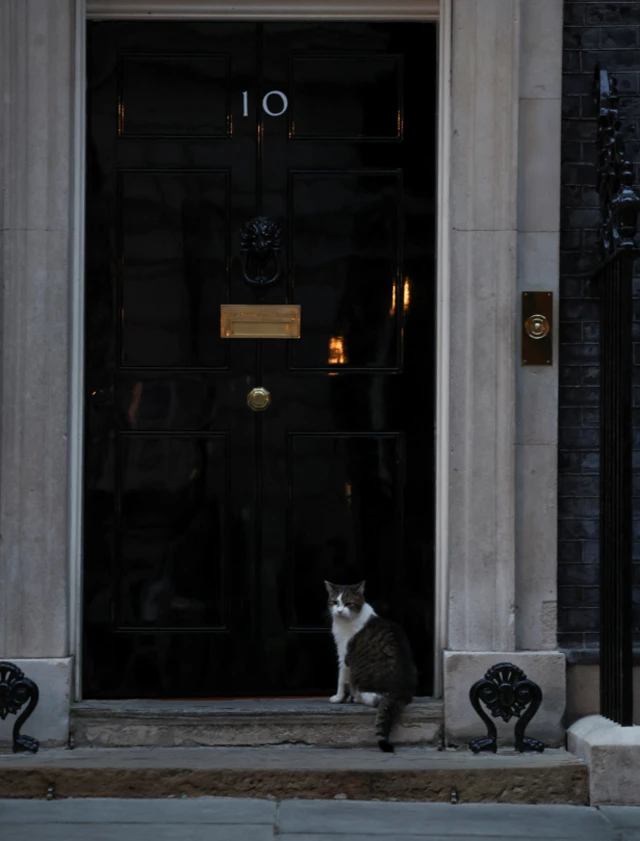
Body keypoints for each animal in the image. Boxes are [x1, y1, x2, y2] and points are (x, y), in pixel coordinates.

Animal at [322, 580, 418, 752]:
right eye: (334, 602)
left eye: (348, 603)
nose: (339, 611)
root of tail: (400, 690)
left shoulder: (344, 655)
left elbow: (341, 679)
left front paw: (338, 697)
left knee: (373, 700)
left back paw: (355, 697)